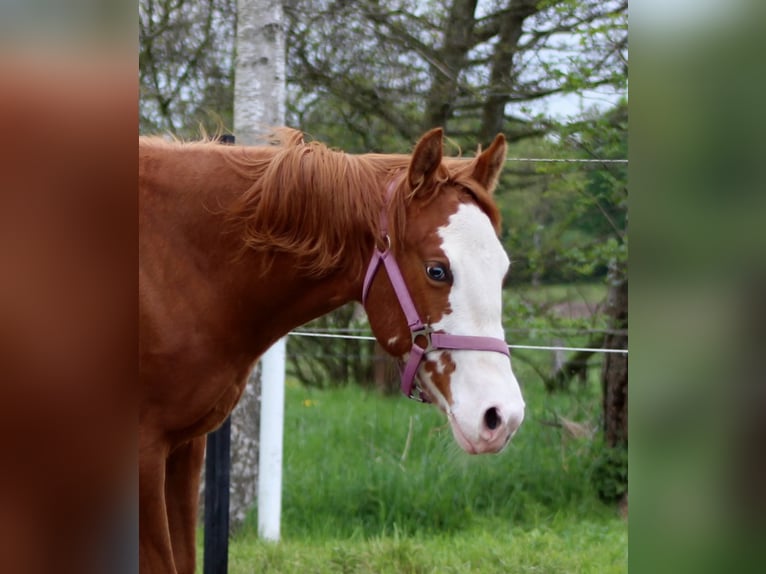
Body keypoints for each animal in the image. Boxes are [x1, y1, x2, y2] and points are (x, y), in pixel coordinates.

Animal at [139, 127, 525, 573]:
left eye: (503, 269)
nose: (502, 416)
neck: (178, 261)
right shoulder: (146, 455)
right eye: (437, 270)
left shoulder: (185, 450)